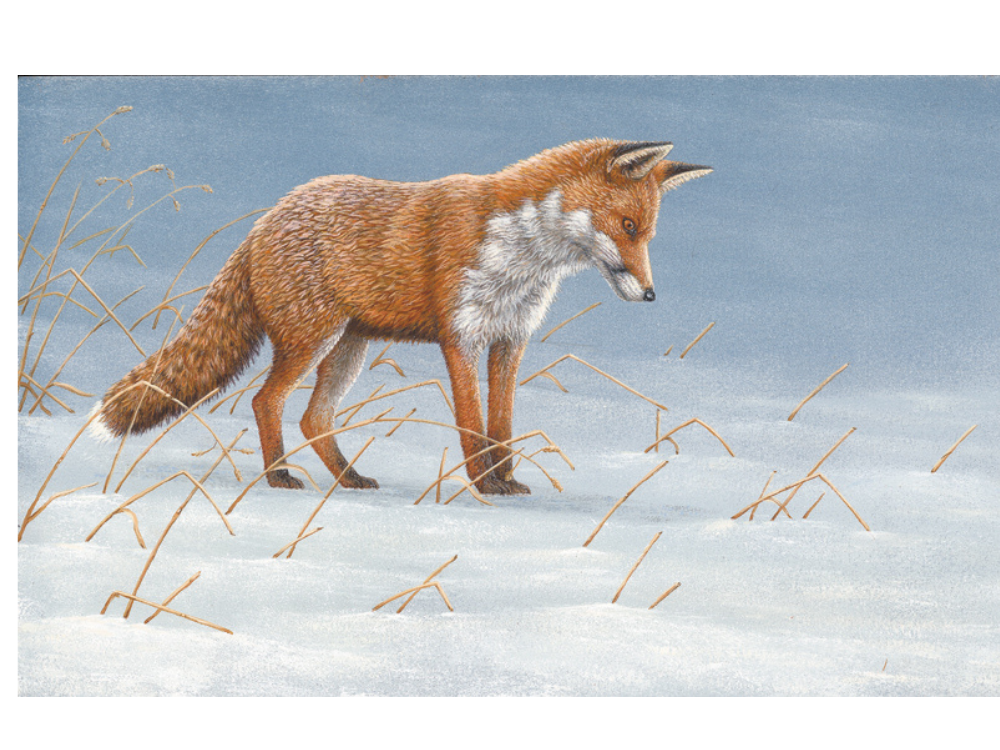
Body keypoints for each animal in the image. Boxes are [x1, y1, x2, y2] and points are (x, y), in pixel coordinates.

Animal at [91, 139, 711, 495]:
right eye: (627, 226)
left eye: (647, 234)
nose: (651, 295)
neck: (522, 257)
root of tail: (265, 220)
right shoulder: (460, 336)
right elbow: (470, 423)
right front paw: (484, 484)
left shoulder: (509, 340)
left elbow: (503, 425)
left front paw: (507, 477)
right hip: (313, 340)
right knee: (266, 402)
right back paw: (279, 476)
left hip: (348, 348)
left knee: (313, 418)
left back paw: (348, 478)